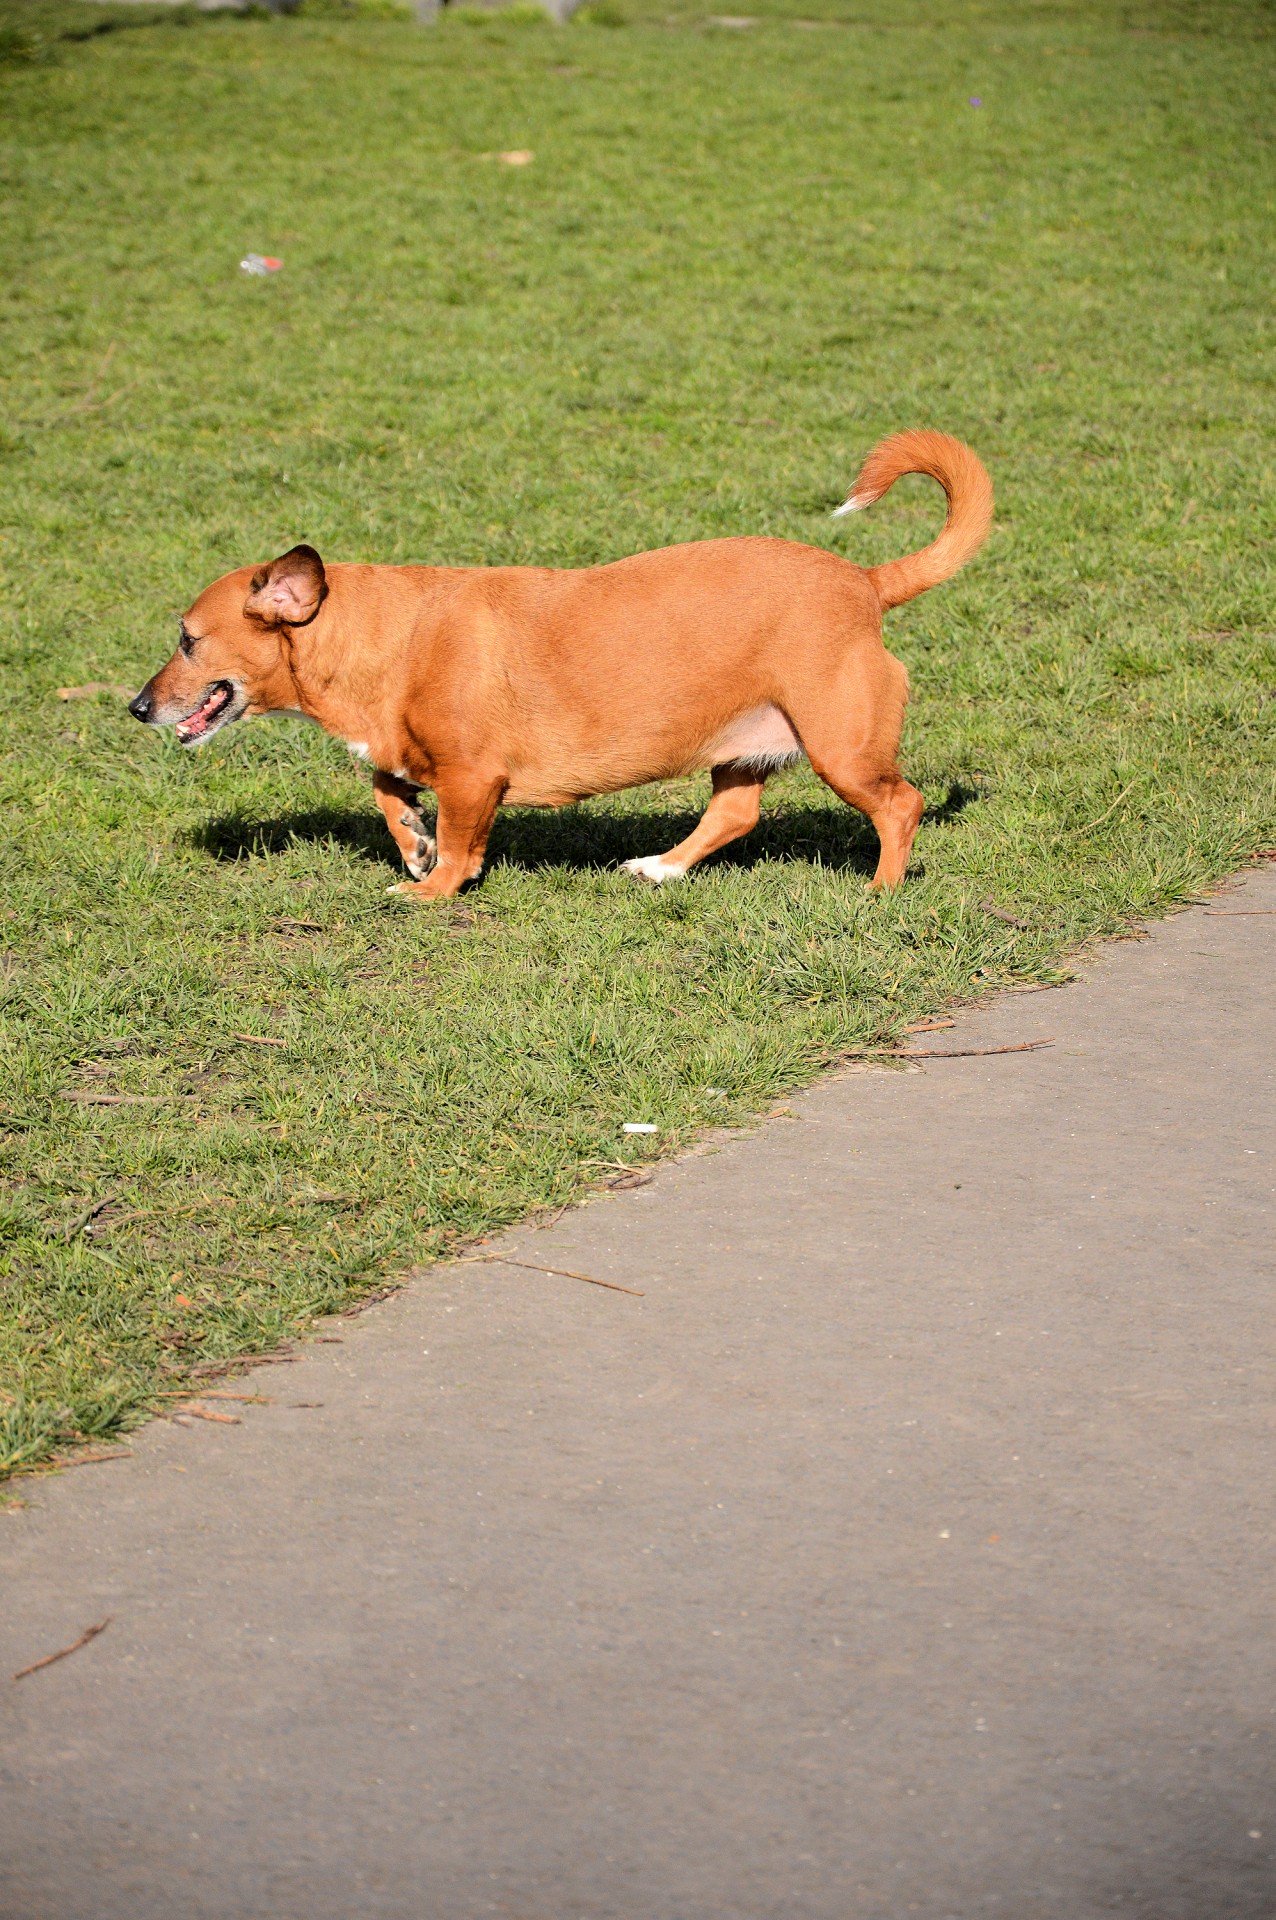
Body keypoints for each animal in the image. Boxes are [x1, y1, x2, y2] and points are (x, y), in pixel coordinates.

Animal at [129, 432, 990, 894]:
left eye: (187, 638)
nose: (136, 708)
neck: (381, 632)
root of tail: (865, 582)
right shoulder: (404, 754)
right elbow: (386, 789)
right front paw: (411, 842)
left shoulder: (473, 778)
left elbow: (461, 842)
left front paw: (430, 888)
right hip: (746, 747)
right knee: (735, 814)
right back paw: (660, 869)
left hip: (842, 748)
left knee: (900, 806)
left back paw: (879, 890)